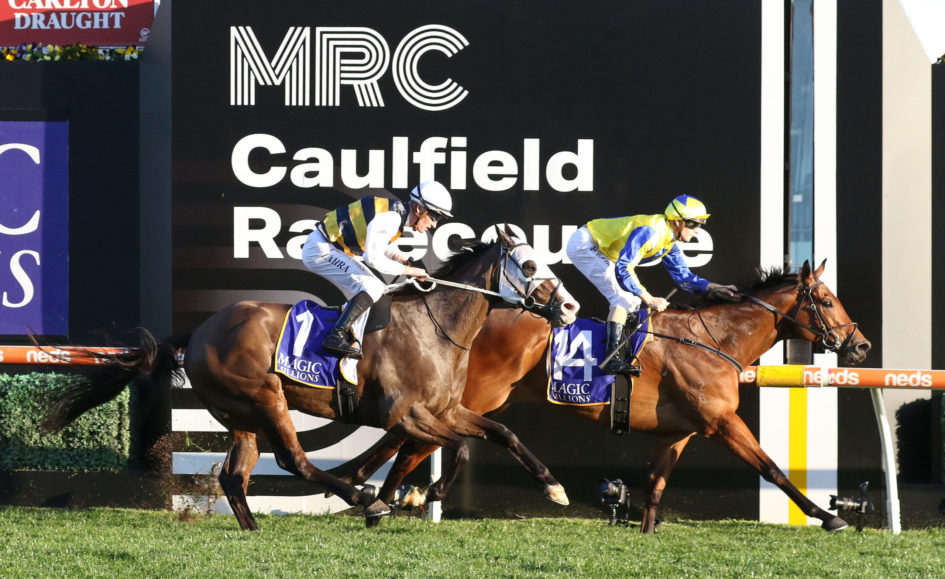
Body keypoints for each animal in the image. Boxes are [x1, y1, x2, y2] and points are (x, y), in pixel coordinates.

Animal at [40, 226, 580, 530]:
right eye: (529, 263)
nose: (571, 306)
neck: (436, 326)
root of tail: (199, 331)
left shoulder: (448, 408)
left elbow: (500, 433)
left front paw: (554, 488)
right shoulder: (405, 413)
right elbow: (451, 447)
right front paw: (412, 495)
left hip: (239, 414)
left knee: (236, 475)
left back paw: (254, 528)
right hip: (265, 397)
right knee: (293, 460)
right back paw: (360, 499)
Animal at [340, 260, 872, 532]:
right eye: (826, 301)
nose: (861, 345)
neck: (715, 340)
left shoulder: (677, 433)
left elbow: (655, 486)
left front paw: (647, 532)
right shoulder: (721, 422)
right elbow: (772, 468)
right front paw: (828, 517)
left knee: (406, 443)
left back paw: (375, 493)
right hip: (473, 397)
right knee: (408, 442)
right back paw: (385, 493)